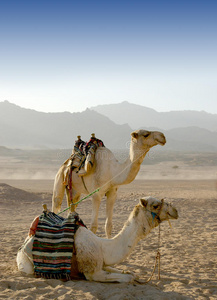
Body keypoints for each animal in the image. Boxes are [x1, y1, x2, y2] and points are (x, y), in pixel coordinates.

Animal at [16, 196, 178, 282]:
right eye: (155, 205)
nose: (175, 211)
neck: (103, 246)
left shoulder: (103, 263)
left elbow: (130, 273)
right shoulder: (92, 271)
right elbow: (128, 278)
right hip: (25, 262)